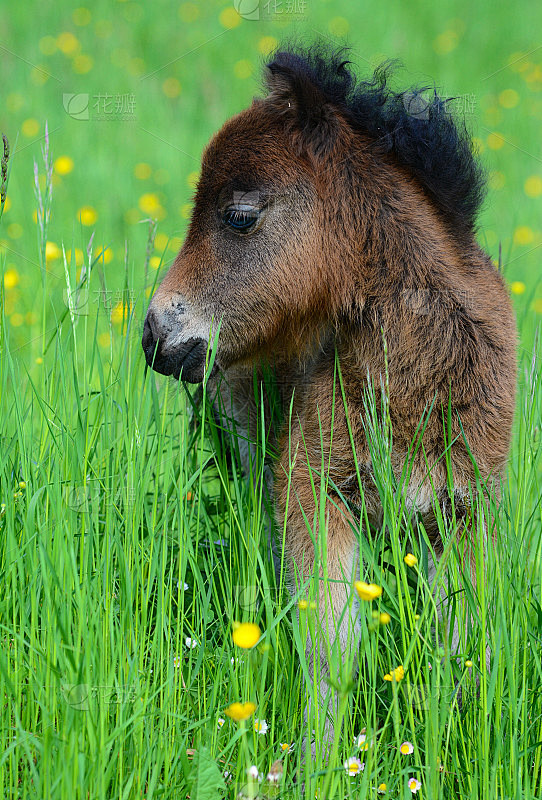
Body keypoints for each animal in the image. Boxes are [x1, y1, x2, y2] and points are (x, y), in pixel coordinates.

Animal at [142, 44, 517, 753]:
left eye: (238, 215)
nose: (155, 336)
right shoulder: (312, 496)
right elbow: (331, 648)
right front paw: (317, 760)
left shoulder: (462, 514)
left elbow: (455, 644)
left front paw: (444, 749)